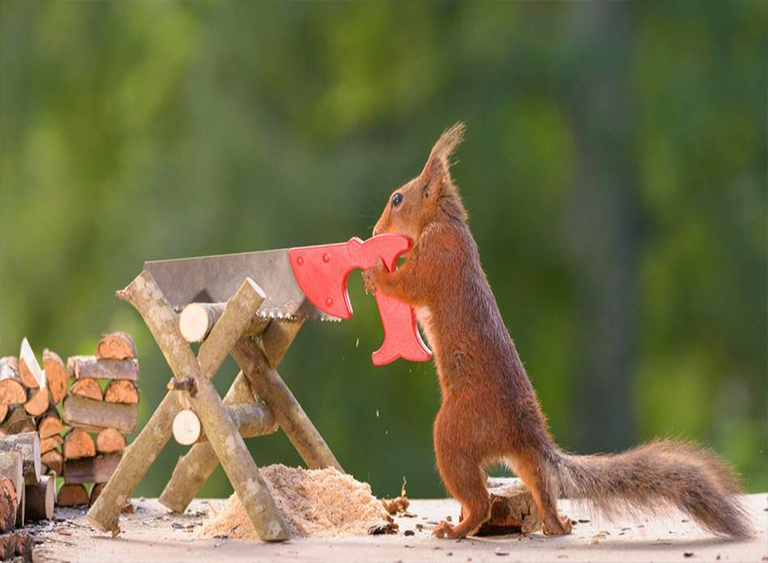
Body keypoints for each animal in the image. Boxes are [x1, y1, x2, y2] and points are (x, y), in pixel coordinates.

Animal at [364, 124, 752, 540]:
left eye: (397, 198)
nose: (375, 230)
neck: (445, 221)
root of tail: (523, 432)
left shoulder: (437, 256)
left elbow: (407, 285)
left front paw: (374, 273)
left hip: (453, 432)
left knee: (479, 499)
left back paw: (456, 528)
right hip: (521, 460)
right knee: (541, 484)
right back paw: (556, 523)